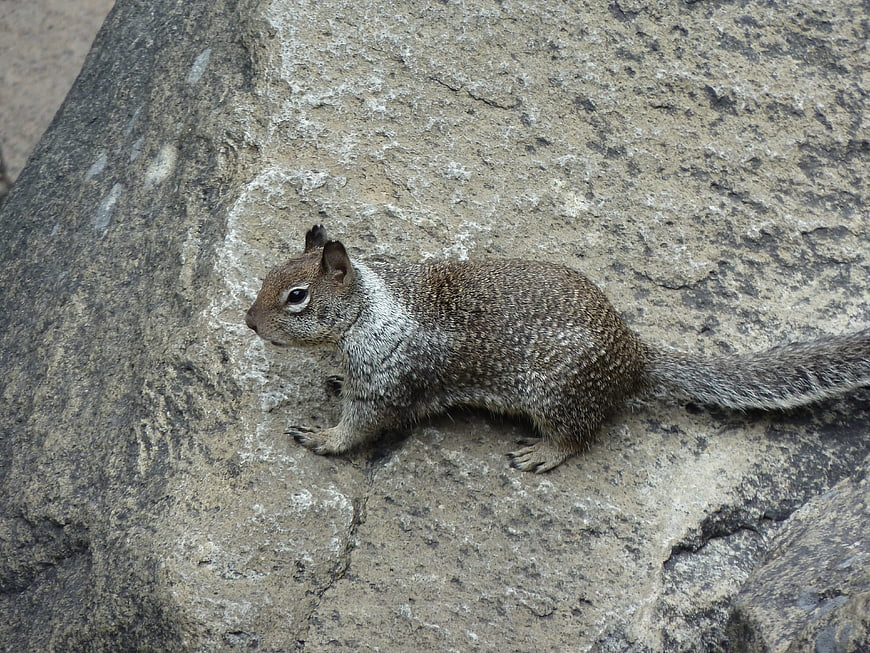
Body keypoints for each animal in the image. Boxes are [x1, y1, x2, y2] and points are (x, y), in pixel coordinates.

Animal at [245, 225, 870, 473]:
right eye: (267, 276)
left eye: (297, 297)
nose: (248, 322)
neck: (369, 311)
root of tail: (634, 356)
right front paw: (333, 380)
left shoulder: (389, 383)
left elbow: (361, 427)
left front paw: (322, 437)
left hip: (557, 395)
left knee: (580, 436)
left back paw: (543, 453)